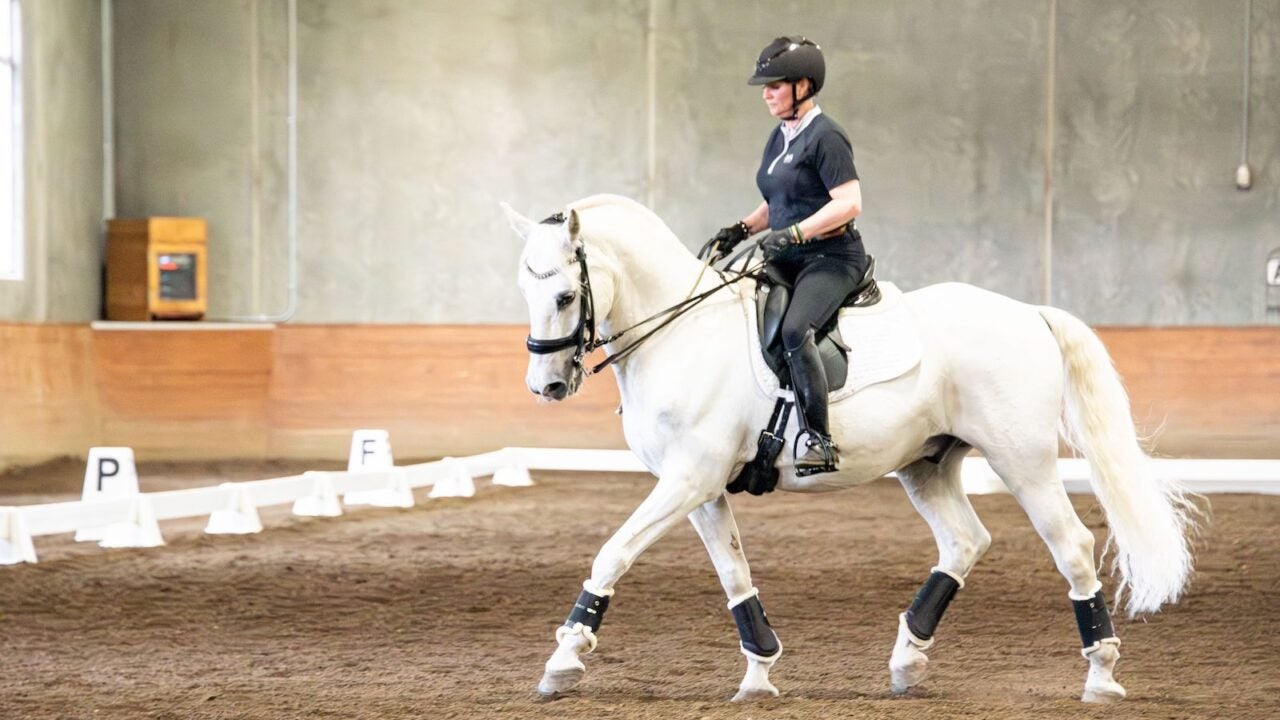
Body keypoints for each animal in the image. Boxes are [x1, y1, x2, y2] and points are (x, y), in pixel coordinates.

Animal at [502, 194, 1197, 703]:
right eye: (525, 292)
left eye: (565, 294)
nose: (547, 386)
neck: (678, 332)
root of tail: (1029, 312)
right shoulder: (699, 488)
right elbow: (734, 572)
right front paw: (759, 673)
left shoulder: (688, 479)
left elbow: (612, 554)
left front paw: (563, 660)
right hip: (927, 463)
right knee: (964, 541)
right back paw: (907, 661)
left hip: (1021, 462)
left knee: (1072, 546)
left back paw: (1101, 674)